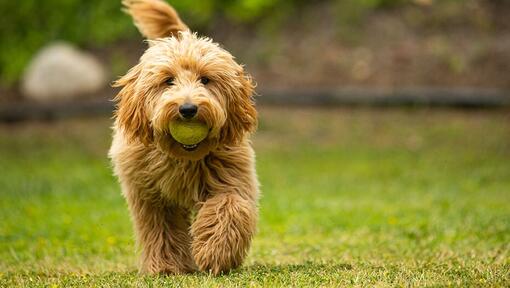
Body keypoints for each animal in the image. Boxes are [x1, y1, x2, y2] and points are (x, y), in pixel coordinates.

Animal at [108, 0, 258, 274]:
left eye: (205, 80)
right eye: (168, 81)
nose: (188, 109)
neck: (182, 157)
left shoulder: (231, 176)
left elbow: (229, 206)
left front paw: (215, 252)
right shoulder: (151, 196)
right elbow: (161, 229)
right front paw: (167, 267)